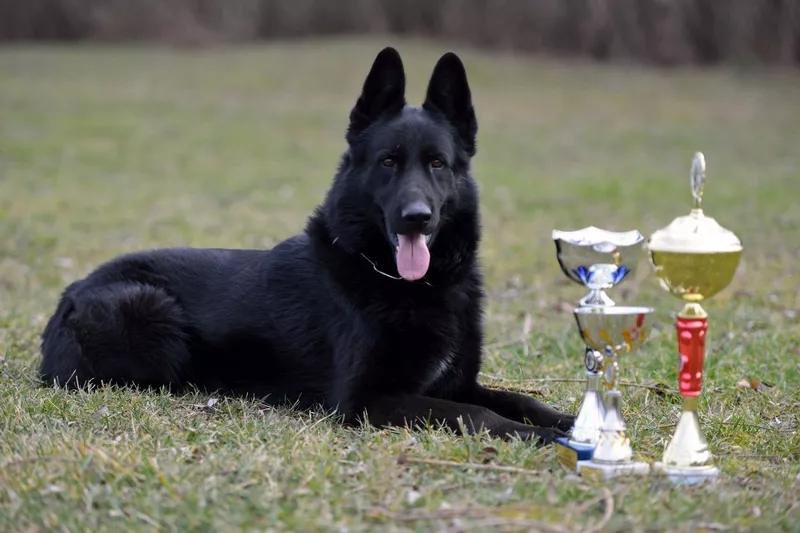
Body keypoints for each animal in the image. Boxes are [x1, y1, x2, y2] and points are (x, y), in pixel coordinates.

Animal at [39, 47, 576, 442]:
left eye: (437, 163)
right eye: (387, 161)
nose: (416, 217)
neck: (405, 282)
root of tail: (73, 291)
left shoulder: (461, 382)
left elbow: (518, 400)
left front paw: (572, 423)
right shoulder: (370, 401)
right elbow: (476, 415)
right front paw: (548, 440)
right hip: (150, 309)